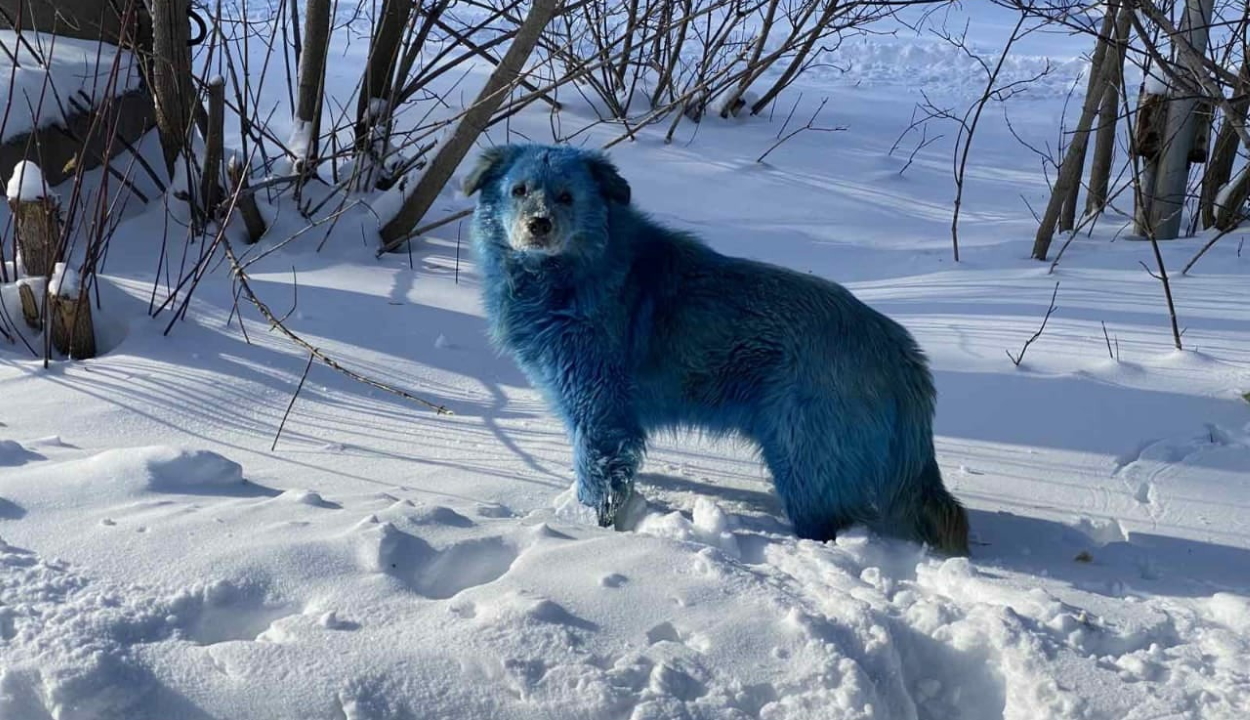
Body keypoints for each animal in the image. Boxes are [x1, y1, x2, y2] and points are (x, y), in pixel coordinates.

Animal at [467, 143, 965, 555]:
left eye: (567, 196)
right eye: (519, 190)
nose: (538, 225)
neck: (578, 273)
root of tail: (899, 349)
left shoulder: (599, 414)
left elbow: (599, 479)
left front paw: (590, 531)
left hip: (803, 460)